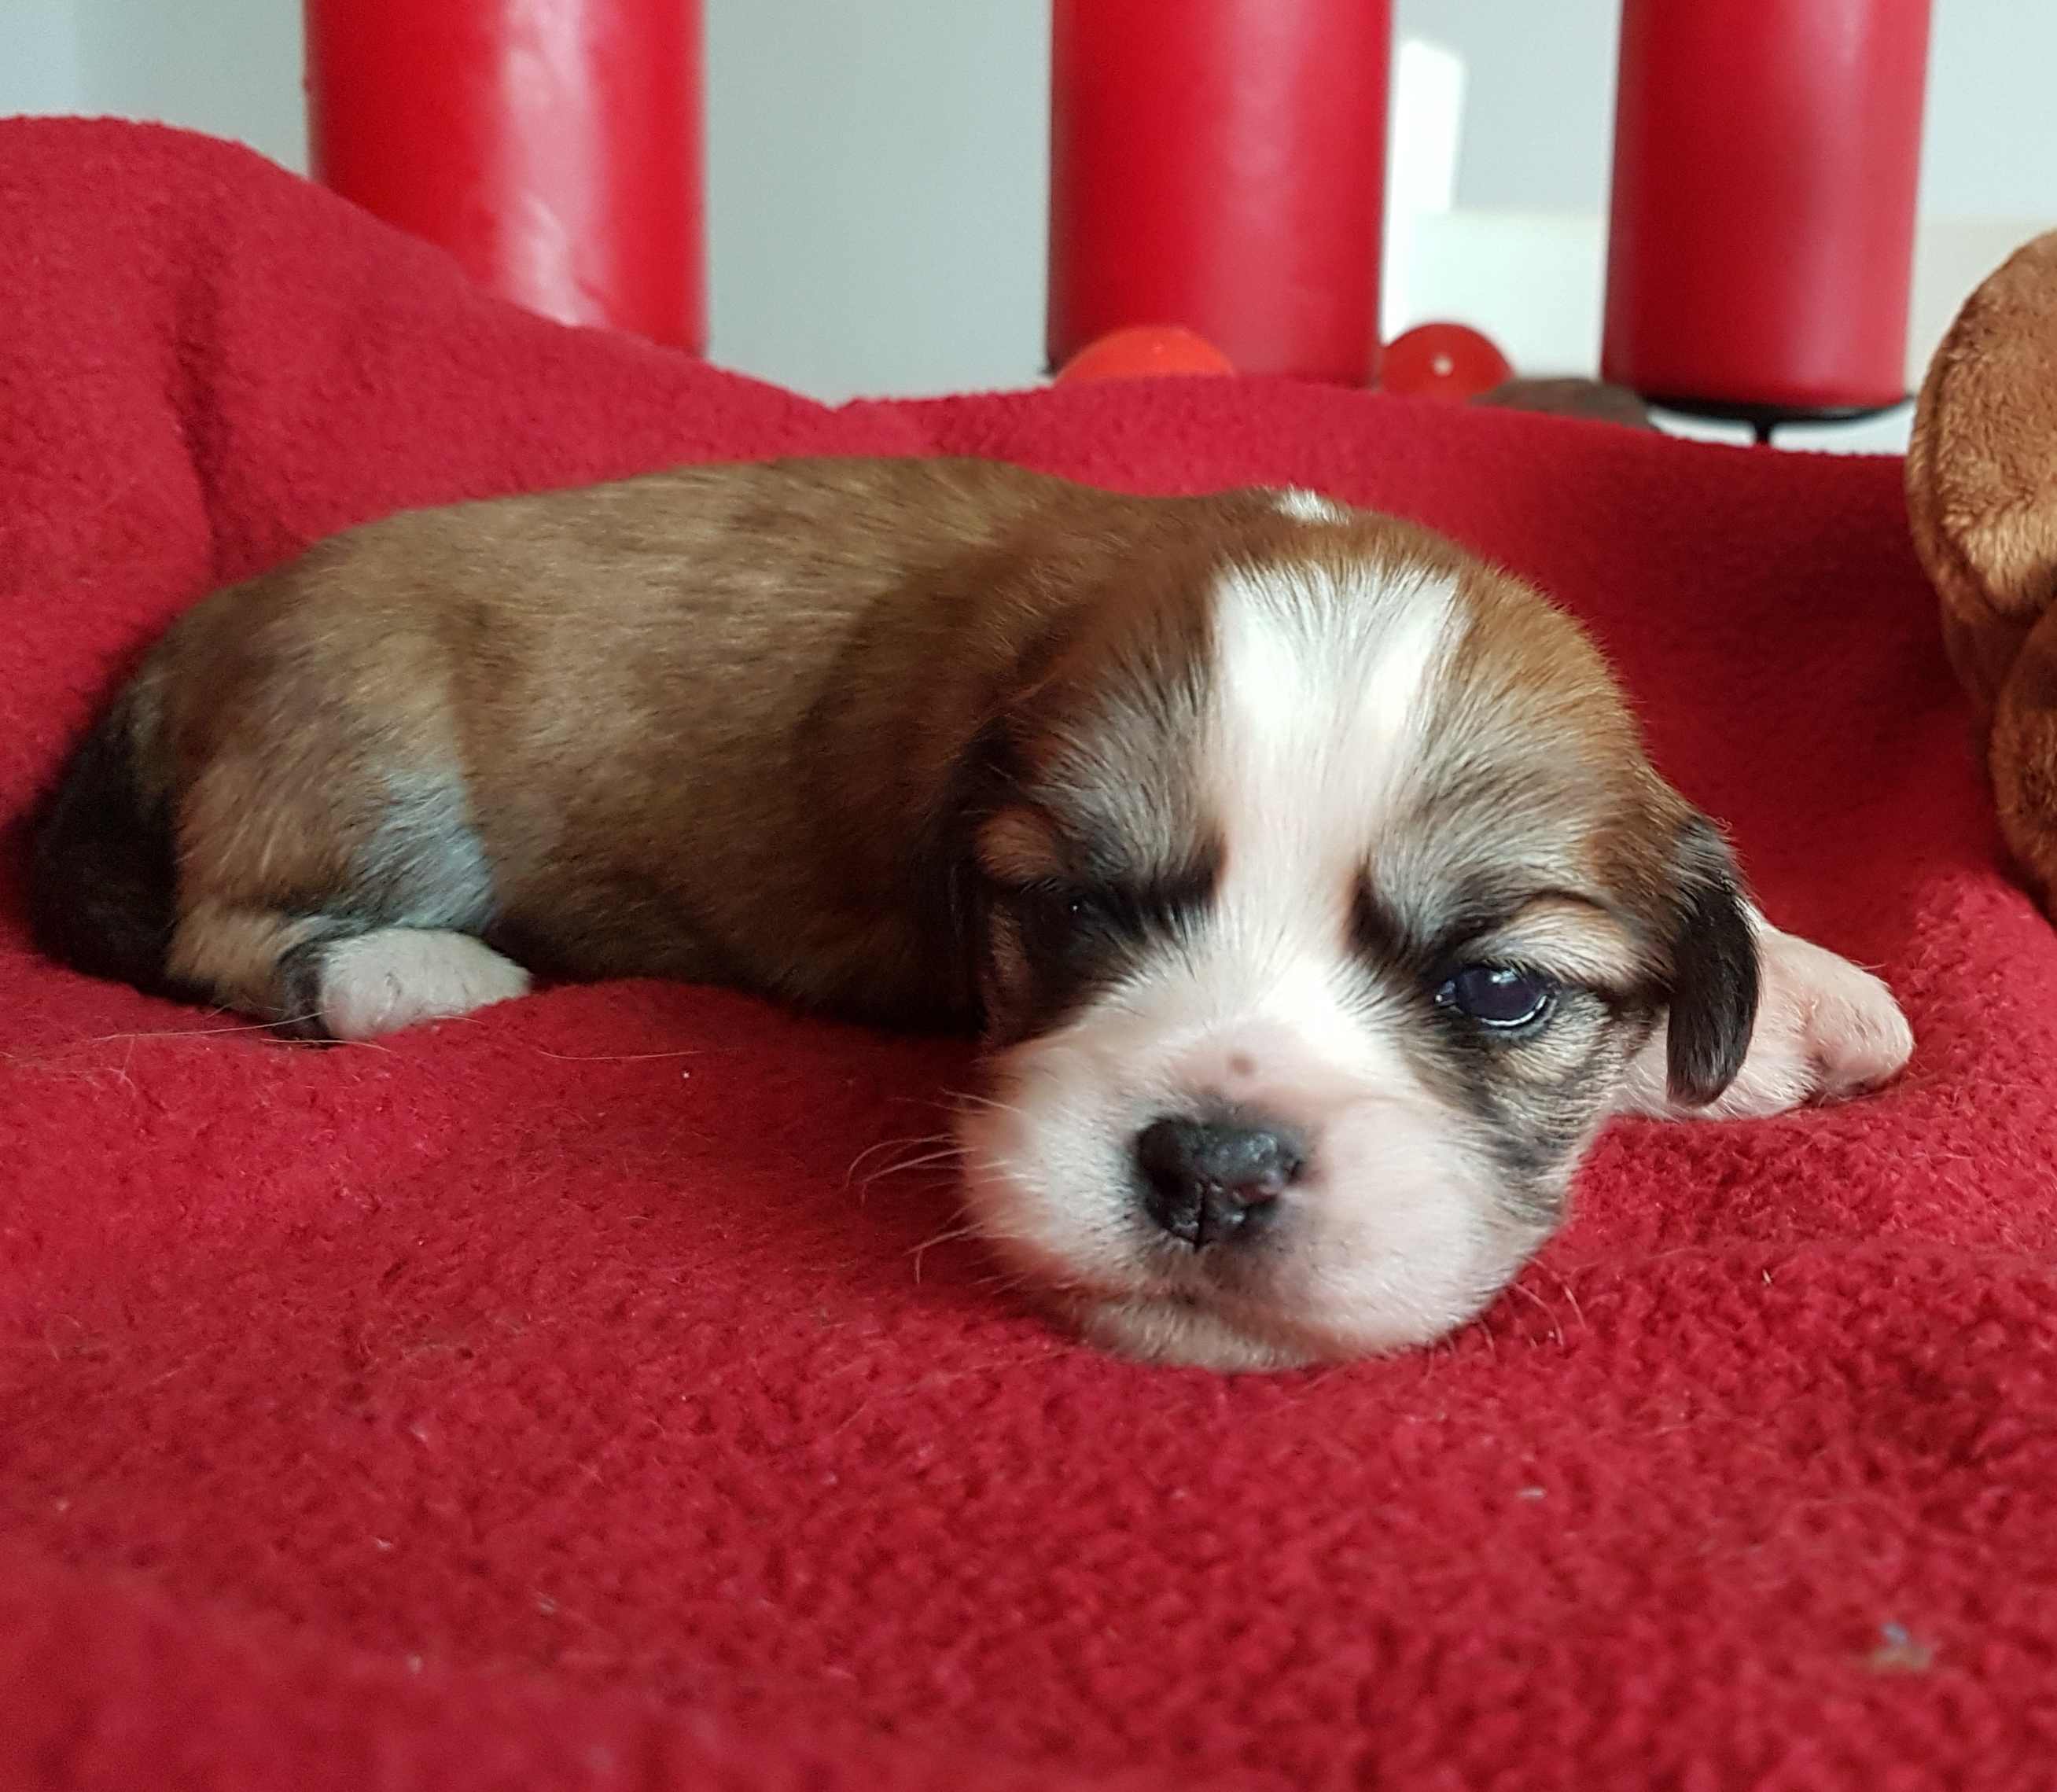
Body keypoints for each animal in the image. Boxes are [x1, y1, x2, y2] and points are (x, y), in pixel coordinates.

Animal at [30, 457, 1914, 1370]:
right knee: (214, 922)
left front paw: (1791, 1000)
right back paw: (409, 970)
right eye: (1072, 905)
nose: (1213, 1169)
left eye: (1500, 991)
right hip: (375, 746)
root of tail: (198, 631)